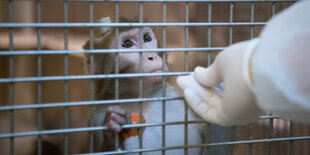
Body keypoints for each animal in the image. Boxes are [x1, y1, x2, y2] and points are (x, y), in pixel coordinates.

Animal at [83, 17, 206, 154]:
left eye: (146, 38)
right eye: (127, 44)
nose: (151, 57)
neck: (143, 102)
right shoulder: (98, 116)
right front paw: (112, 131)